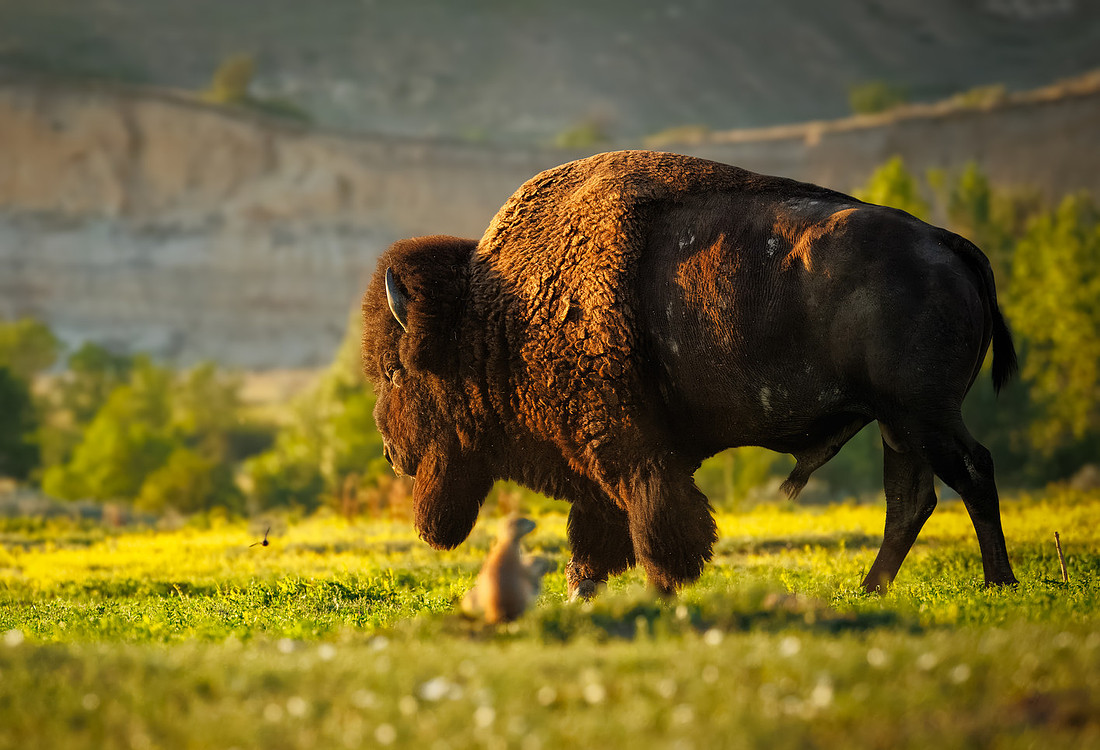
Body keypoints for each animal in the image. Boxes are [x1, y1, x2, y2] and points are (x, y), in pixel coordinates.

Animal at [361, 150, 1018, 598]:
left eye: (395, 371)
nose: (392, 451)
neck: (499, 308)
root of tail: (949, 244)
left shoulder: (629, 450)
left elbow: (658, 527)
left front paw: (661, 590)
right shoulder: (600, 464)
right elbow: (598, 539)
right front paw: (583, 594)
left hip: (924, 414)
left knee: (972, 472)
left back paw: (998, 583)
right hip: (897, 423)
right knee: (911, 499)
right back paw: (871, 588)